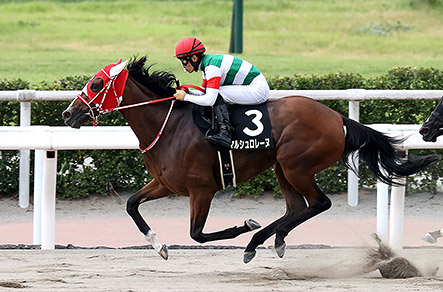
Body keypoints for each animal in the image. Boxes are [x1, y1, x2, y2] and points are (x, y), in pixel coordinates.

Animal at [62, 57, 440, 262]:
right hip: (282, 168)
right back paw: (272, 240)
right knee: (296, 207)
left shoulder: (202, 190)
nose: (67, 114)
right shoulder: (165, 183)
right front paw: (159, 246)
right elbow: (131, 205)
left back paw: (257, 238)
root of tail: (339, 119)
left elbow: (198, 234)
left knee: (319, 203)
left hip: (296, 165)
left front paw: (244, 225)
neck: (168, 126)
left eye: (96, 84)